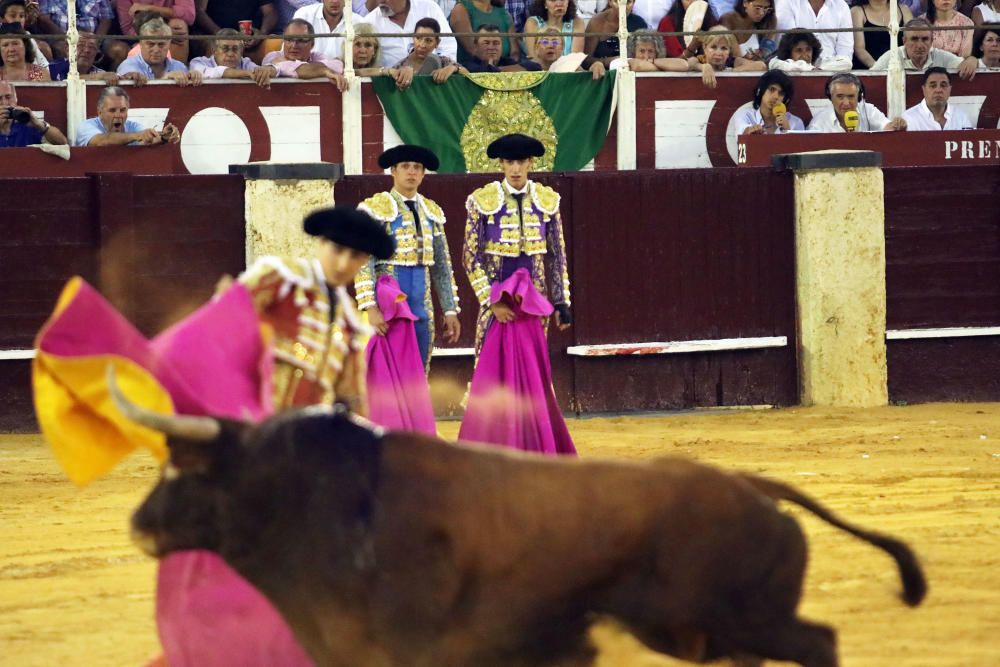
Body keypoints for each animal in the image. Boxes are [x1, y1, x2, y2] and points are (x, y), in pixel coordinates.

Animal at [111, 376, 928, 667]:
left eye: (189, 471)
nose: (140, 524)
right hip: (709, 633)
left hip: (747, 617)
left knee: (818, 644)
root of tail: (748, 484)